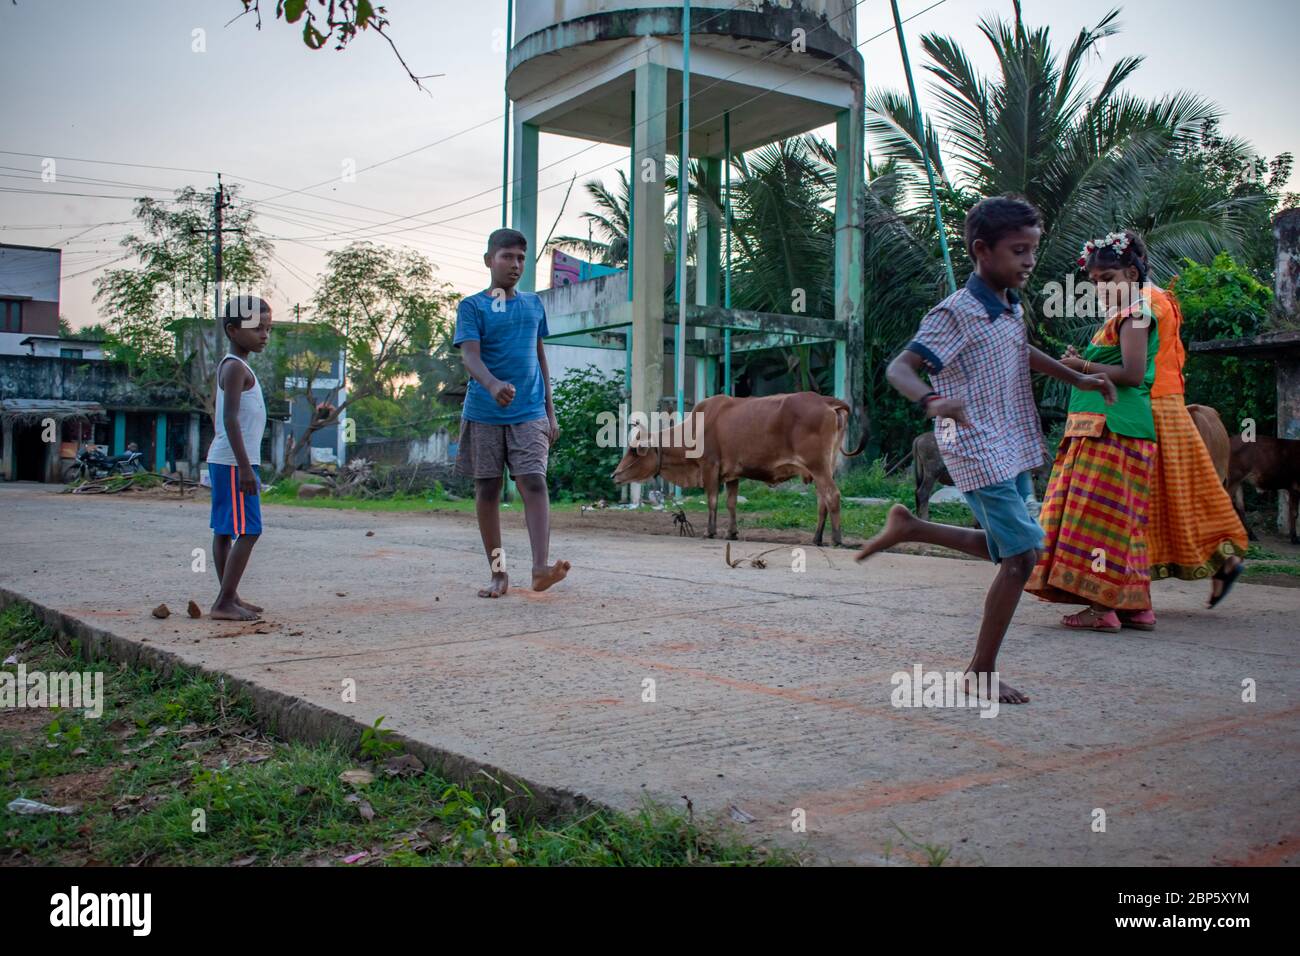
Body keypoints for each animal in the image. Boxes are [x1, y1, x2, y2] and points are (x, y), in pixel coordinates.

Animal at [611, 392, 873, 546]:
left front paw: (710, 532)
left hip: (818, 467)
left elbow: (713, 501)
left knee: (833, 496)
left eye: (634, 450)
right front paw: (731, 533)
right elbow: (731, 504)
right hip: (825, 467)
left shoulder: (710, 467)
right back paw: (817, 538)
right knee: (823, 502)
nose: (615, 475)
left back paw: (836, 539)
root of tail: (827, 400)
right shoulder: (732, 475)